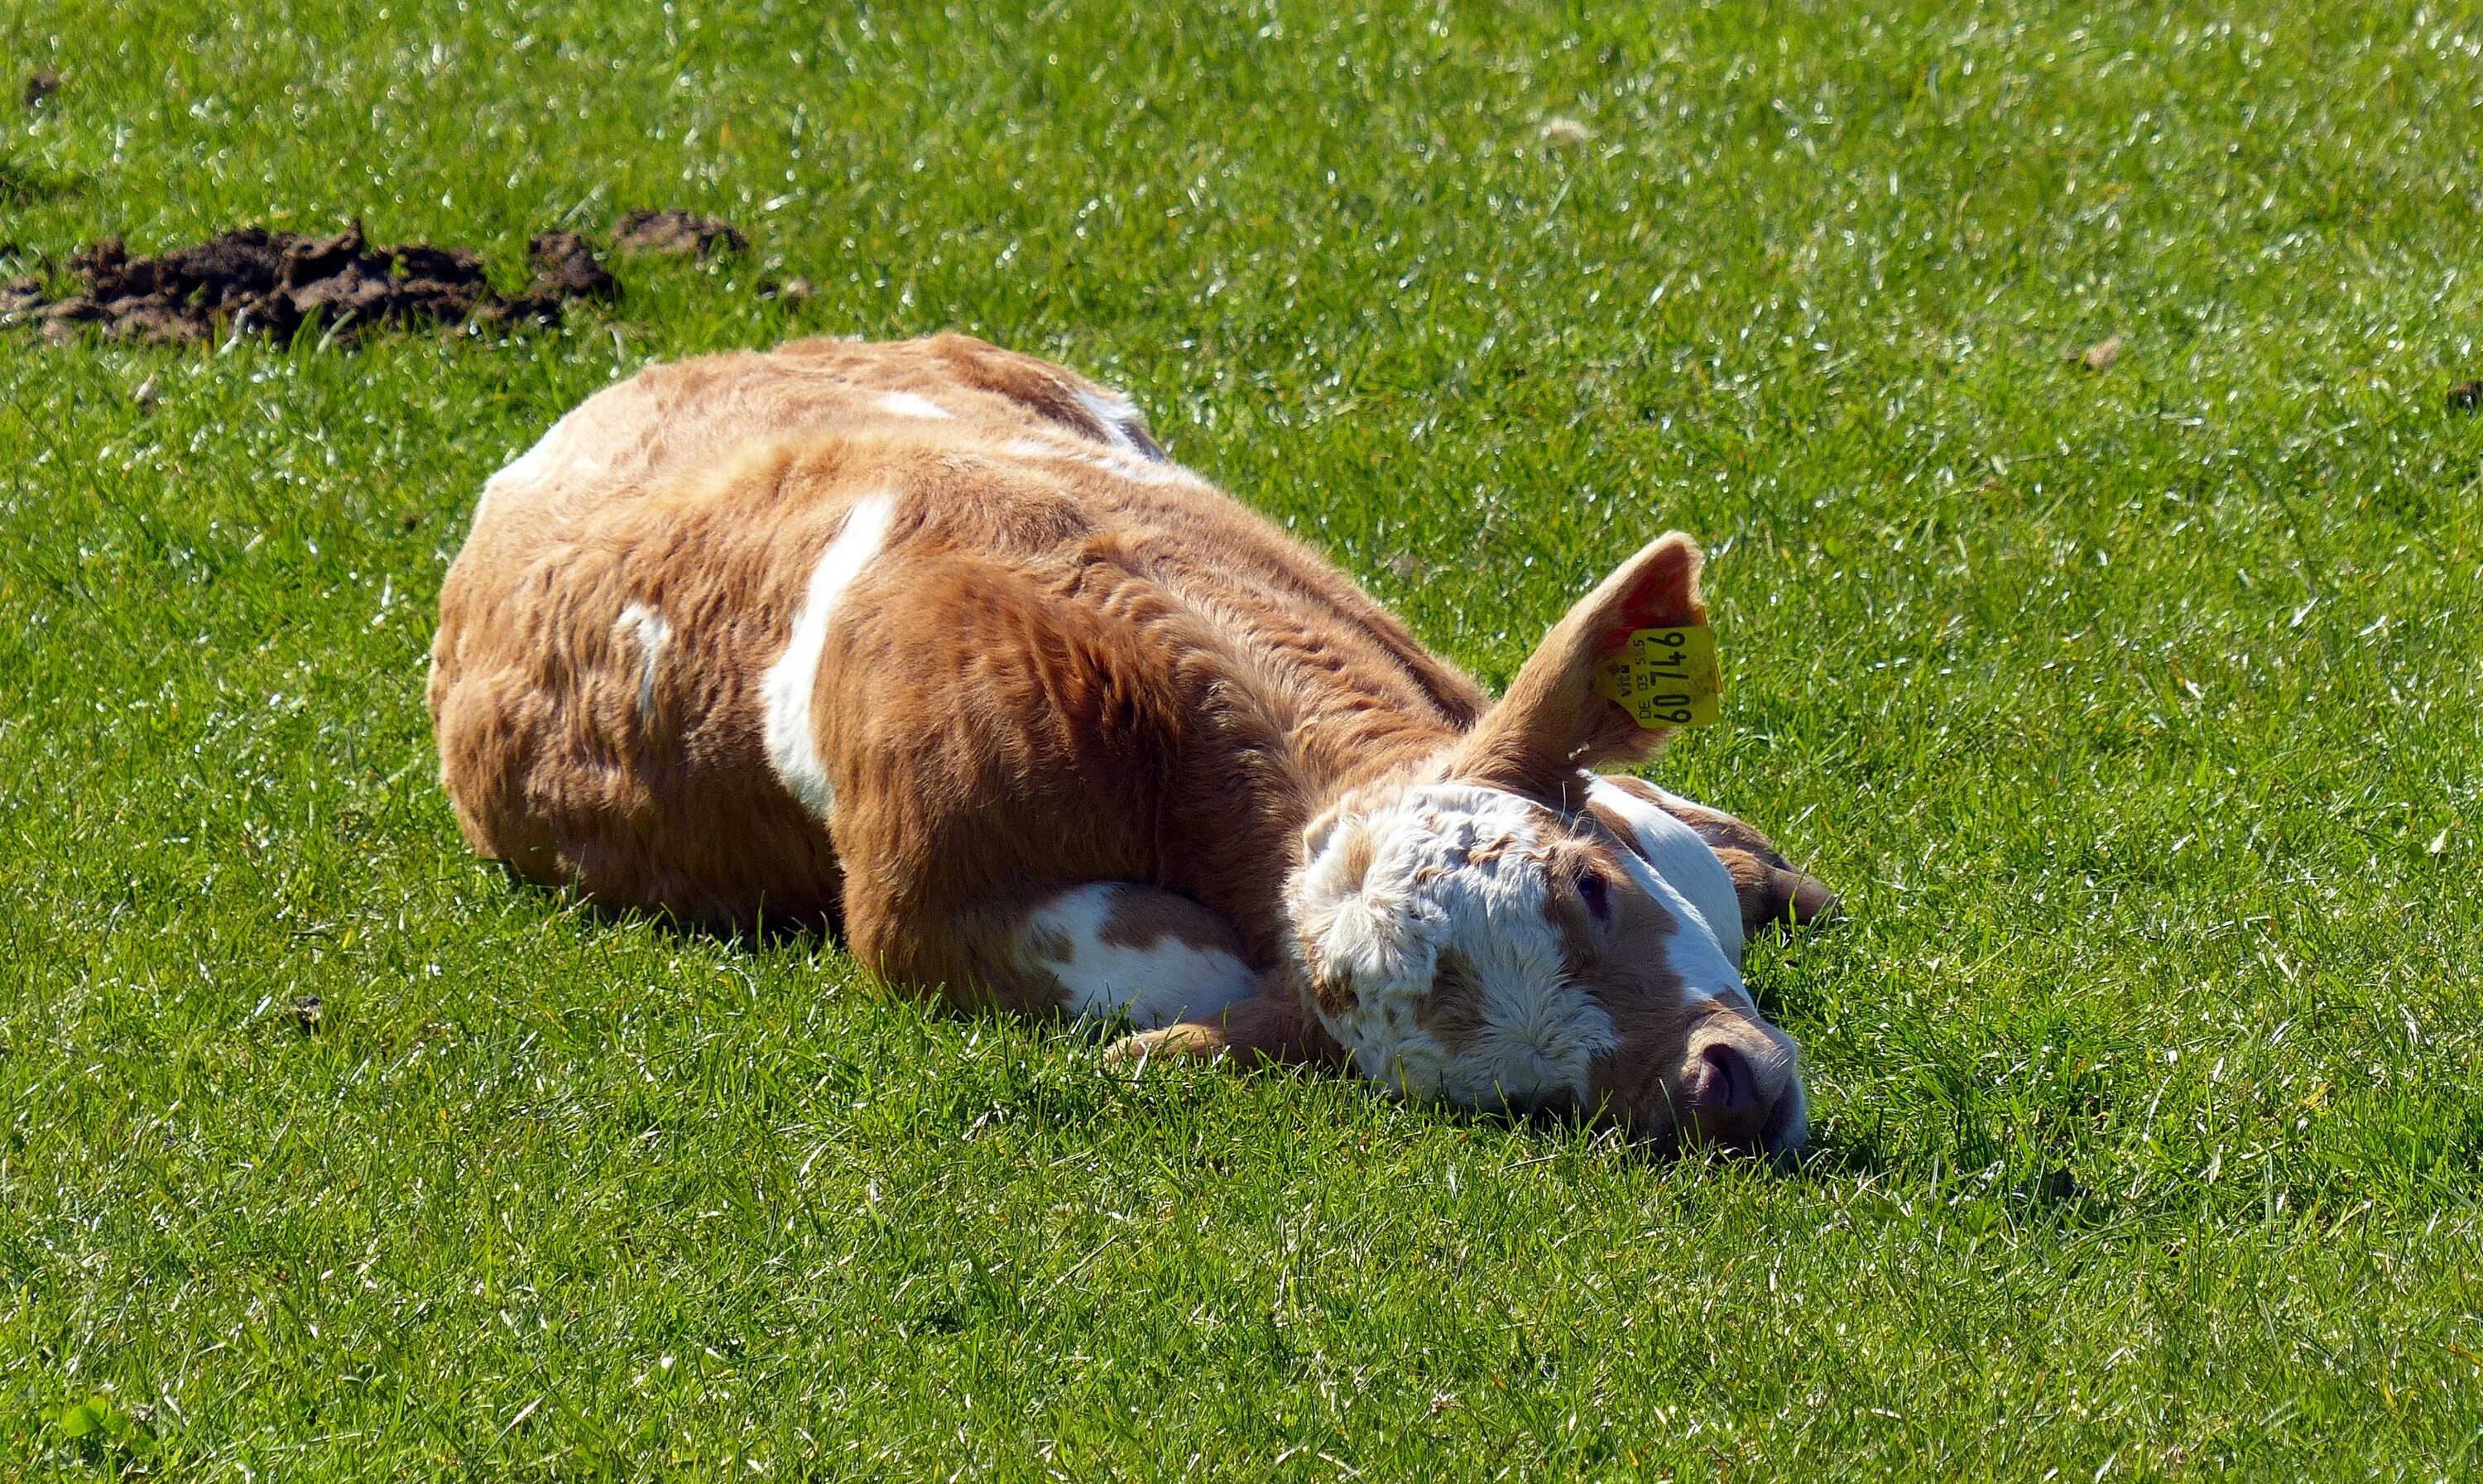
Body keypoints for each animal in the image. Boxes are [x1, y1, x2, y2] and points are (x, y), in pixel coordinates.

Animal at [427, 339, 1837, 1161]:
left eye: (1586, 888)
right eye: (1514, 1097)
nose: (1717, 1089)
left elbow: (1639, 813)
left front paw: (1746, 864)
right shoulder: (918, 912)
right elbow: (1189, 975)